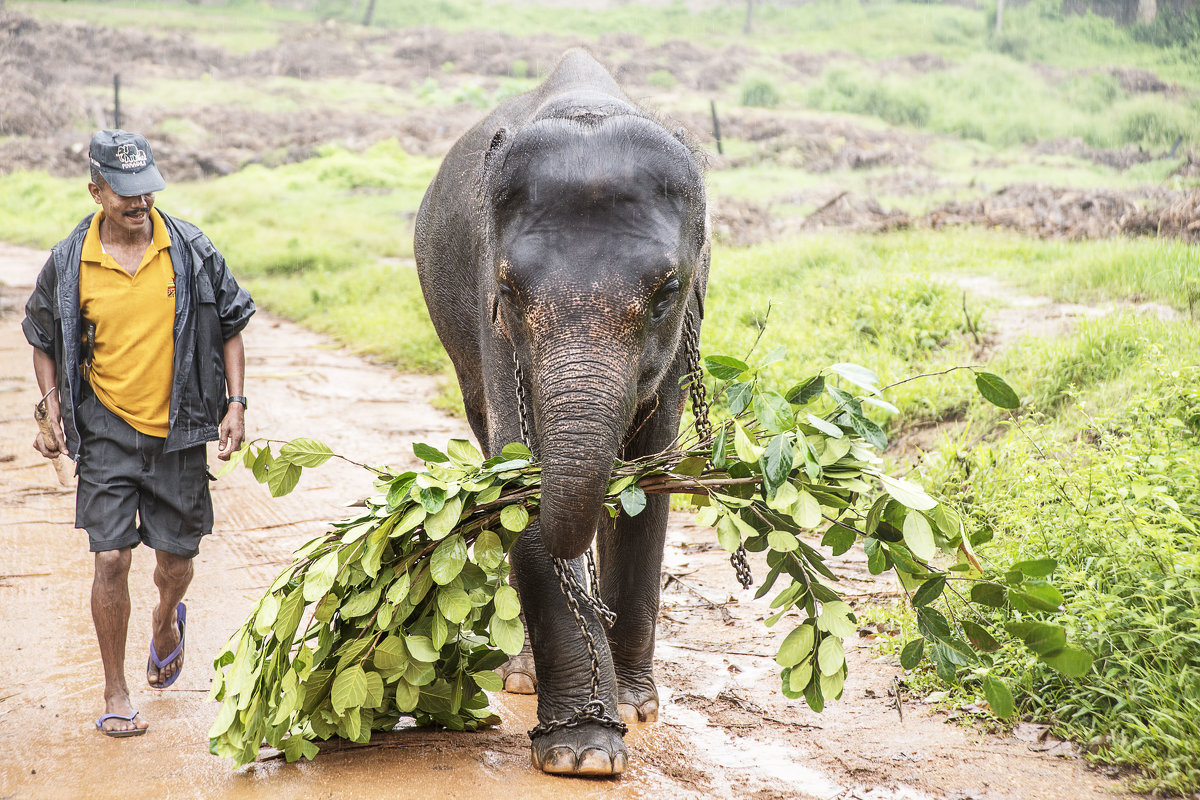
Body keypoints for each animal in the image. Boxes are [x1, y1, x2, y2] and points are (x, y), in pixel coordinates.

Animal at [415, 48, 705, 777]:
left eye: (666, 291)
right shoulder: (489, 311)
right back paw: (521, 677)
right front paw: (584, 753)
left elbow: (651, 469)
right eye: (511, 288)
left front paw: (632, 707)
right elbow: (516, 465)